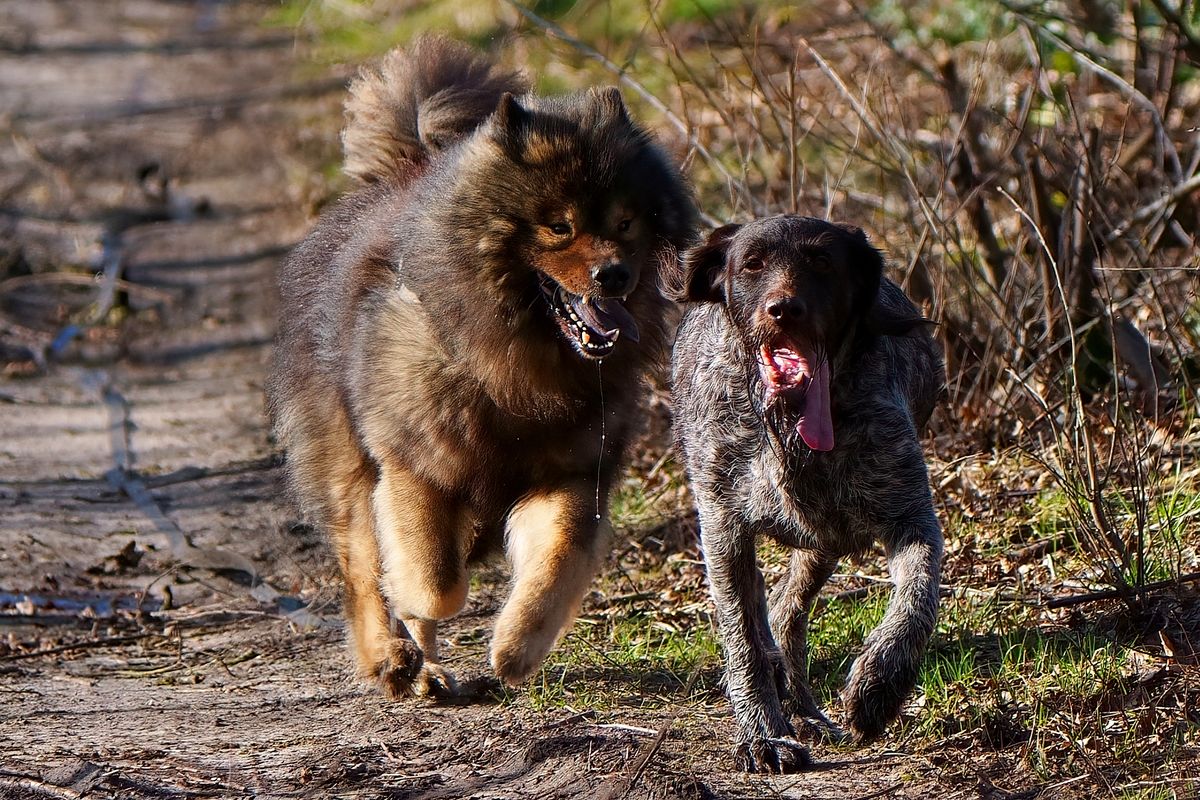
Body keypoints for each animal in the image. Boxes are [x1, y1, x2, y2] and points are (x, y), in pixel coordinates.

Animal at [262, 40, 696, 695]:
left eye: (625, 223)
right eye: (560, 226)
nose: (615, 275)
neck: (518, 371)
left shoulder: (569, 476)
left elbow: (554, 566)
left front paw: (516, 649)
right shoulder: (417, 470)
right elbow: (434, 586)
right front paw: (415, 619)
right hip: (350, 461)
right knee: (363, 565)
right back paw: (396, 658)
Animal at [672, 217, 940, 777]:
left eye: (822, 263)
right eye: (752, 264)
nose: (784, 309)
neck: (790, 430)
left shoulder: (911, 517)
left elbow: (916, 600)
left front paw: (877, 687)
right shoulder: (723, 528)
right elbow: (743, 640)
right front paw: (762, 733)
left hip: (825, 541)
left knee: (786, 610)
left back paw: (806, 710)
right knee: (768, 613)